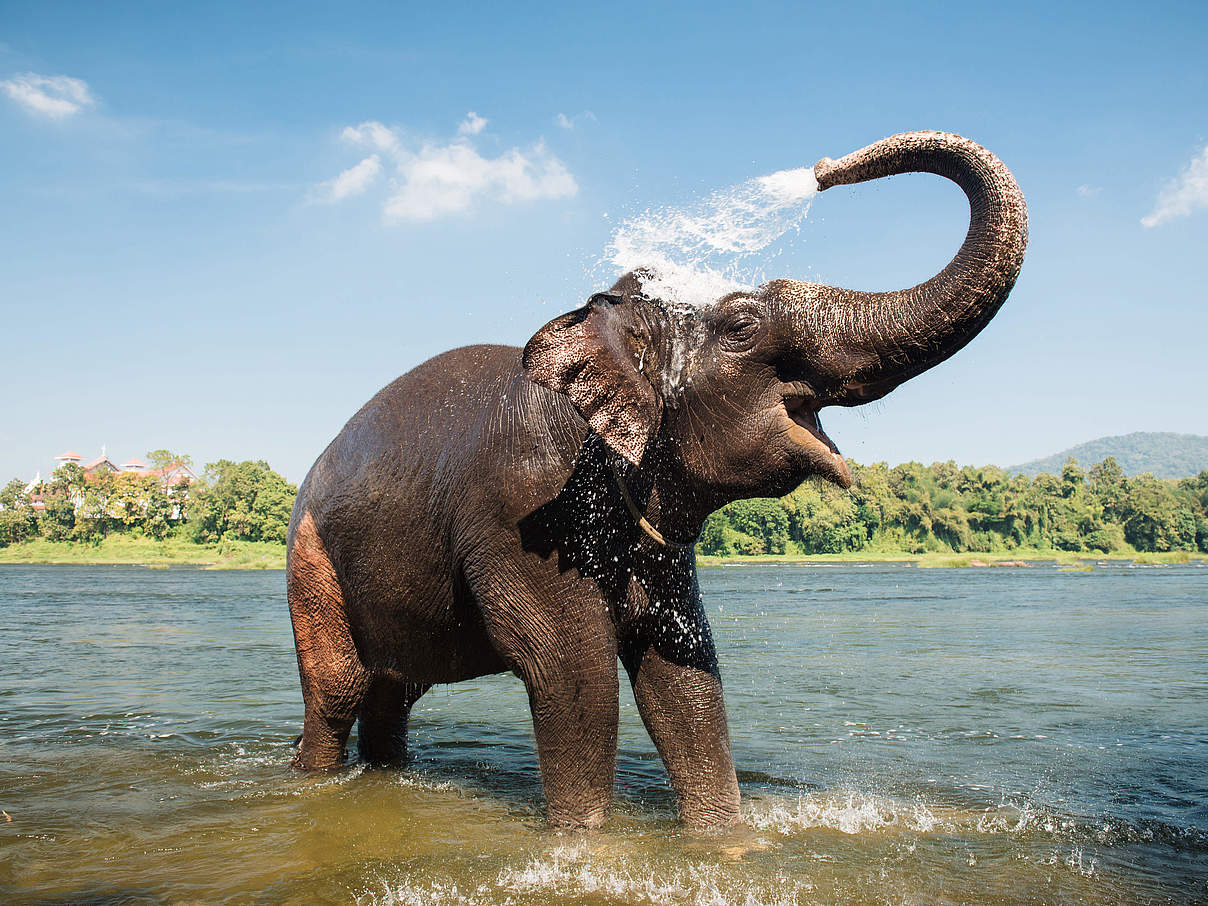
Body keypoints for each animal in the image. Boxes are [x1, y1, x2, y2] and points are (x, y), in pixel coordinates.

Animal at [285, 131, 1029, 835]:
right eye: (742, 326)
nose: (822, 169)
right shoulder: (522, 511)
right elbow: (573, 672)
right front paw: (583, 843)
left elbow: (682, 673)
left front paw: (722, 839)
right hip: (310, 560)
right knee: (339, 691)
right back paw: (312, 779)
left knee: (393, 691)